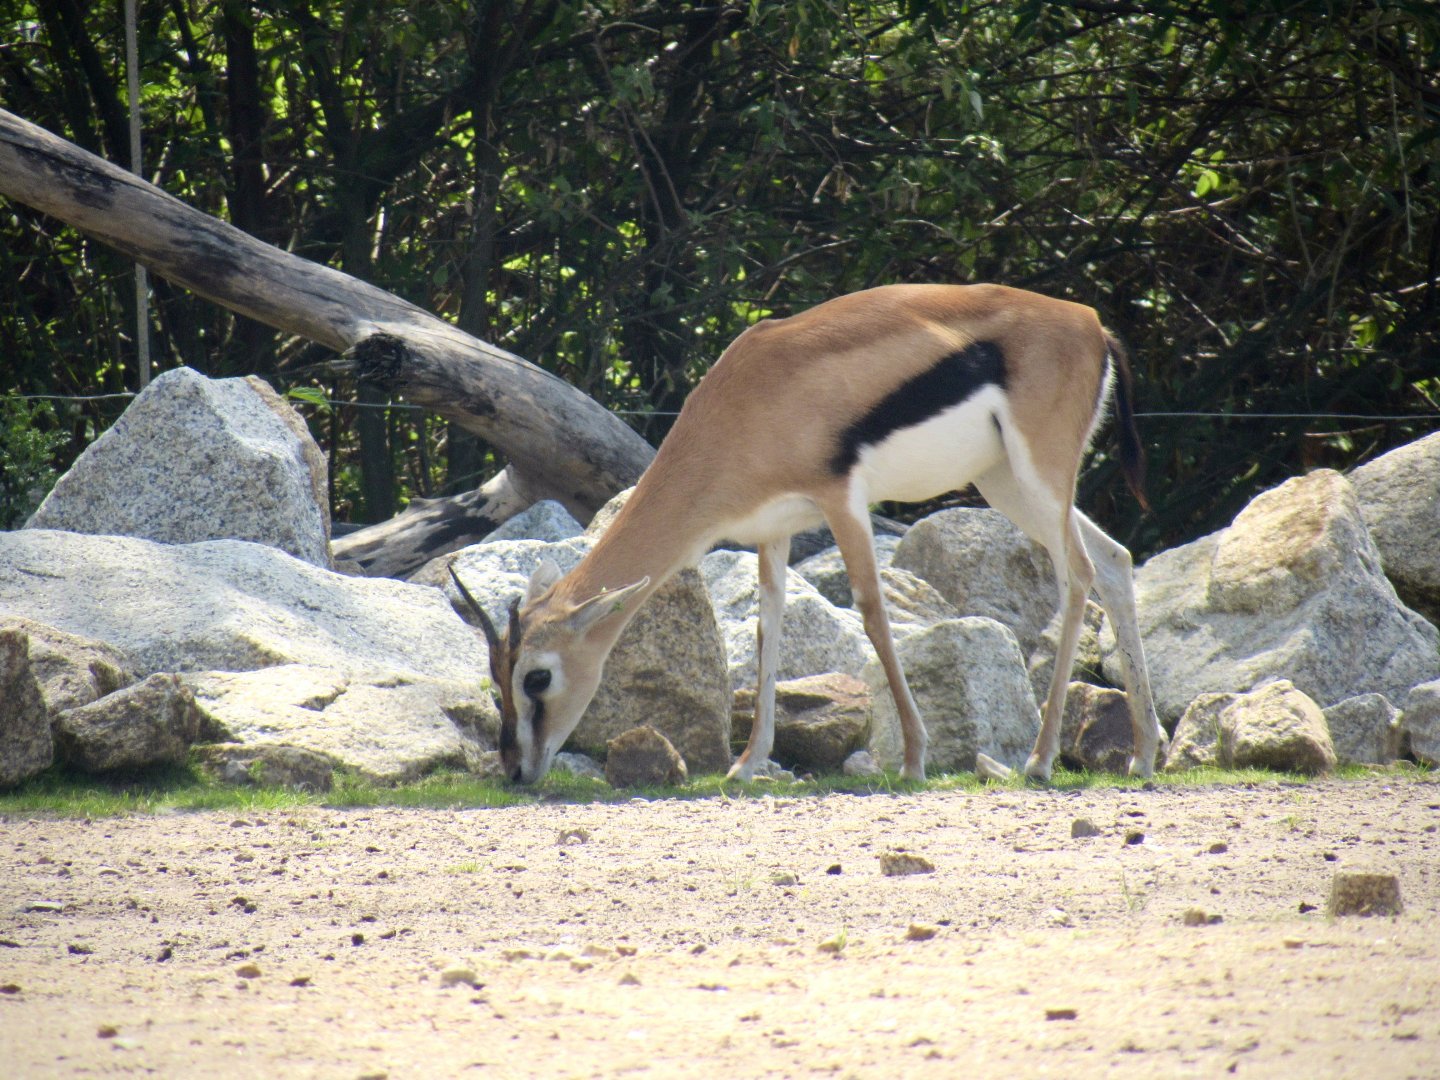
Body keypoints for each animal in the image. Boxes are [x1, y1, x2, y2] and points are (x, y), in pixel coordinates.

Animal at [452, 283, 1161, 785]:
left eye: (536, 677)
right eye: (495, 677)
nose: (516, 771)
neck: (748, 400)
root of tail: (1090, 322)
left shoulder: (840, 500)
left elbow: (872, 612)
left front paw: (913, 759)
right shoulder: (774, 530)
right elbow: (768, 630)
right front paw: (746, 765)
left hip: (1038, 475)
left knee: (1079, 573)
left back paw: (1040, 761)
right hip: (1005, 483)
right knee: (1116, 558)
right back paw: (1144, 755)